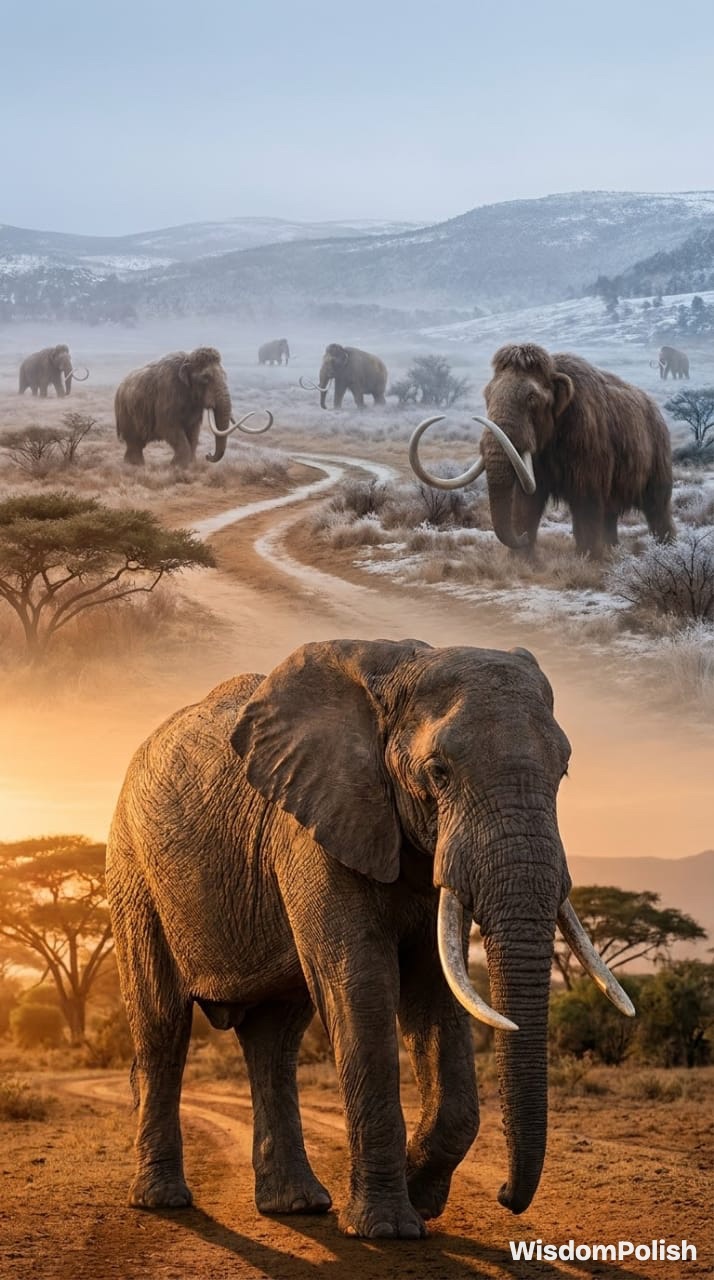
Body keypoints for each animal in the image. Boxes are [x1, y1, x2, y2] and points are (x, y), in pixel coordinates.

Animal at [107, 637, 633, 1239]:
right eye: (438, 771)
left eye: (563, 770)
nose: (505, 1196)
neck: (399, 670)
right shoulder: (313, 827)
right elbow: (359, 986)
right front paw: (387, 1229)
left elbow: (436, 992)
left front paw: (419, 1197)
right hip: (133, 871)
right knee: (162, 1025)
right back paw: (163, 1201)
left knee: (274, 1040)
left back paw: (297, 1205)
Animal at [114, 346, 273, 466]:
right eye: (206, 378)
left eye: (225, 375)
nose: (208, 455)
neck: (188, 360)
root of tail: (120, 387)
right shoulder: (167, 394)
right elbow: (169, 428)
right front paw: (177, 466)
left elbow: (193, 433)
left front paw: (190, 465)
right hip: (126, 415)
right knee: (134, 442)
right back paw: (135, 465)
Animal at [410, 342, 675, 557]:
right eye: (487, 394)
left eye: (531, 398)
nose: (522, 538)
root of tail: (657, 413)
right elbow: (526, 504)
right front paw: (521, 559)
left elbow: (586, 507)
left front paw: (588, 559)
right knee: (611, 515)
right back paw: (613, 550)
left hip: (659, 475)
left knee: (658, 511)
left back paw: (666, 553)